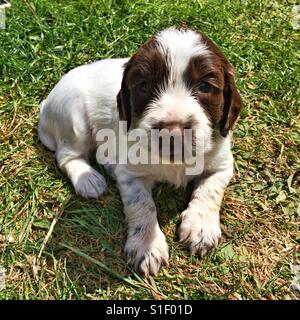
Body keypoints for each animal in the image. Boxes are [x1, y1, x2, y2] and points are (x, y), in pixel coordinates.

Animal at [38, 27, 244, 276]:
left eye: (205, 86)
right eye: (144, 85)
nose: (172, 132)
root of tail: (45, 106)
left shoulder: (222, 164)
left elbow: (210, 190)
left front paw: (200, 227)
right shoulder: (130, 173)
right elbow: (141, 204)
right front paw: (147, 246)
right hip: (73, 116)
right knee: (67, 155)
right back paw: (88, 180)